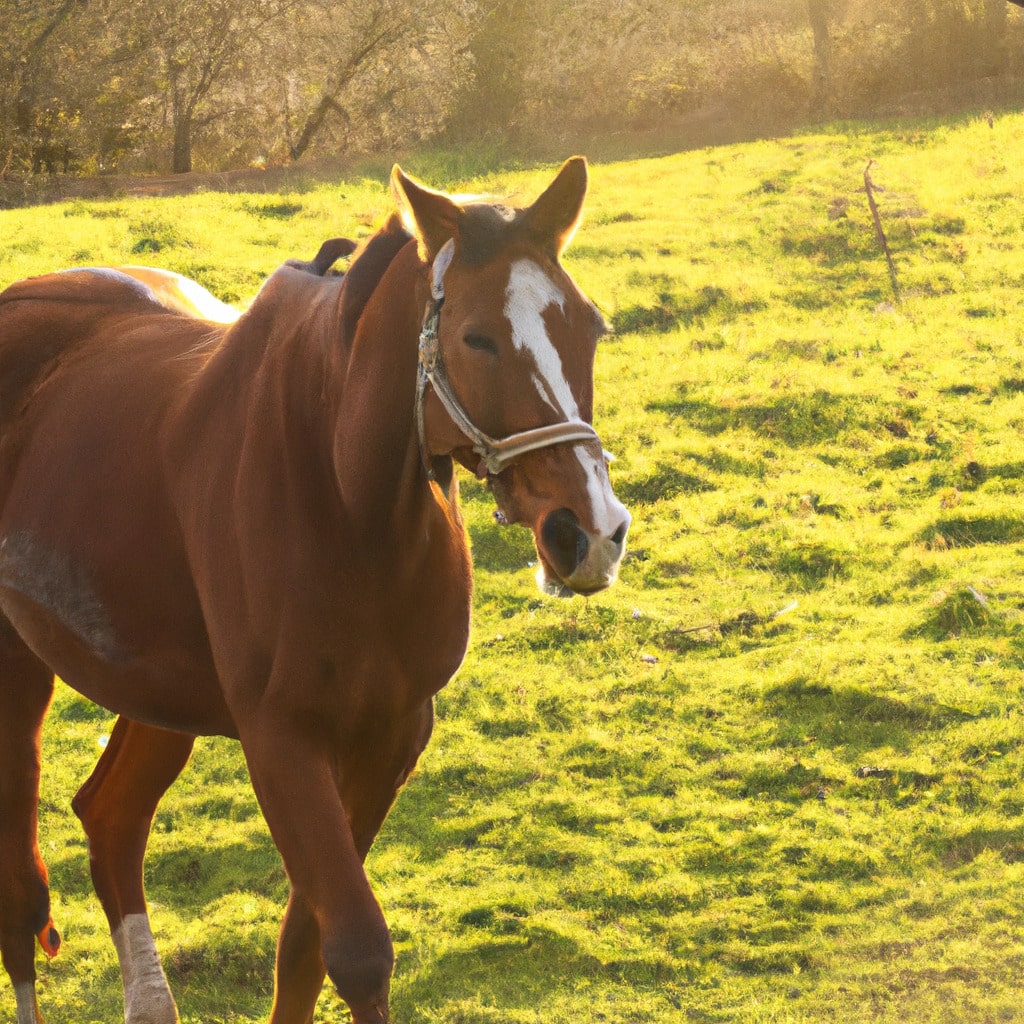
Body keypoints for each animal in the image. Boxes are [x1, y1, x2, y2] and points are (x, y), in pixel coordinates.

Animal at [0, 159, 622, 1024]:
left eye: (589, 328)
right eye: (476, 338)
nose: (589, 532)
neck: (343, 497)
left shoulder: (390, 736)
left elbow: (305, 946)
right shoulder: (282, 739)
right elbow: (356, 947)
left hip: (158, 689)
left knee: (112, 815)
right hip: (19, 675)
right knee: (19, 893)